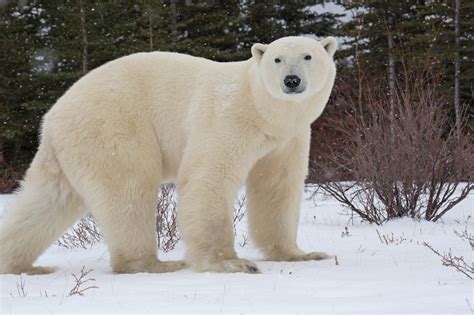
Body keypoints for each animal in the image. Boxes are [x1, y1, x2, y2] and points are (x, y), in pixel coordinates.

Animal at [0, 35, 336, 276]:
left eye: (308, 56)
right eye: (278, 59)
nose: (291, 80)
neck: (262, 109)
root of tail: (52, 118)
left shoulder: (287, 138)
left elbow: (277, 186)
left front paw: (303, 254)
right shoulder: (227, 118)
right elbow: (208, 177)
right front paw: (232, 263)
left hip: (69, 150)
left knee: (46, 201)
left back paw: (22, 265)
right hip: (114, 128)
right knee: (129, 191)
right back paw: (155, 263)